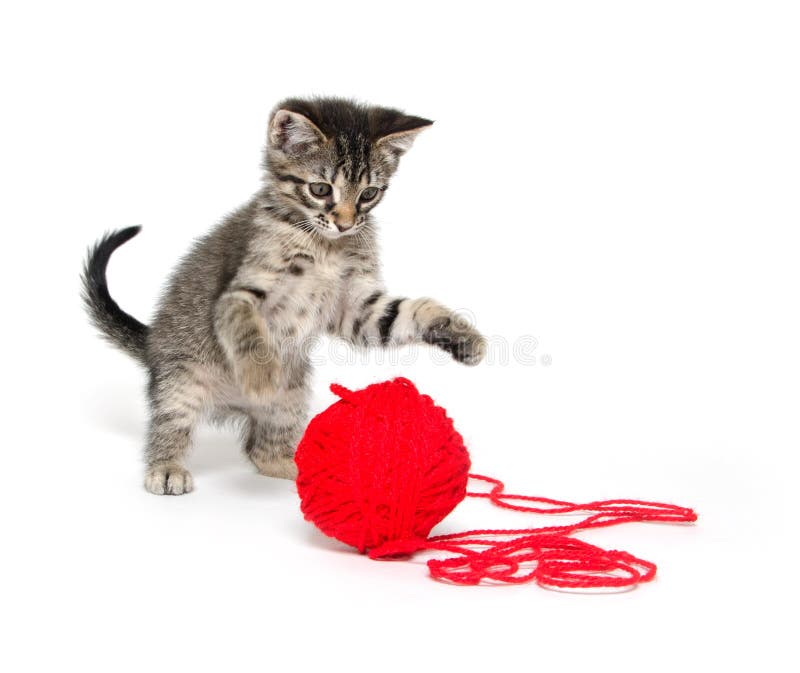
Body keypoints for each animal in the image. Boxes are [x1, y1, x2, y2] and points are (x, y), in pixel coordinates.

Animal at [86, 97, 488, 494]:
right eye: (321, 189)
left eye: (369, 194)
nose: (345, 224)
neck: (326, 245)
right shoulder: (239, 294)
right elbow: (248, 332)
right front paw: (261, 376)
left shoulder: (355, 308)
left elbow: (408, 312)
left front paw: (465, 337)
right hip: (182, 378)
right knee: (170, 422)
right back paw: (167, 467)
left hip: (290, 397)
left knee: (260, 449)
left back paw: (293, 464)